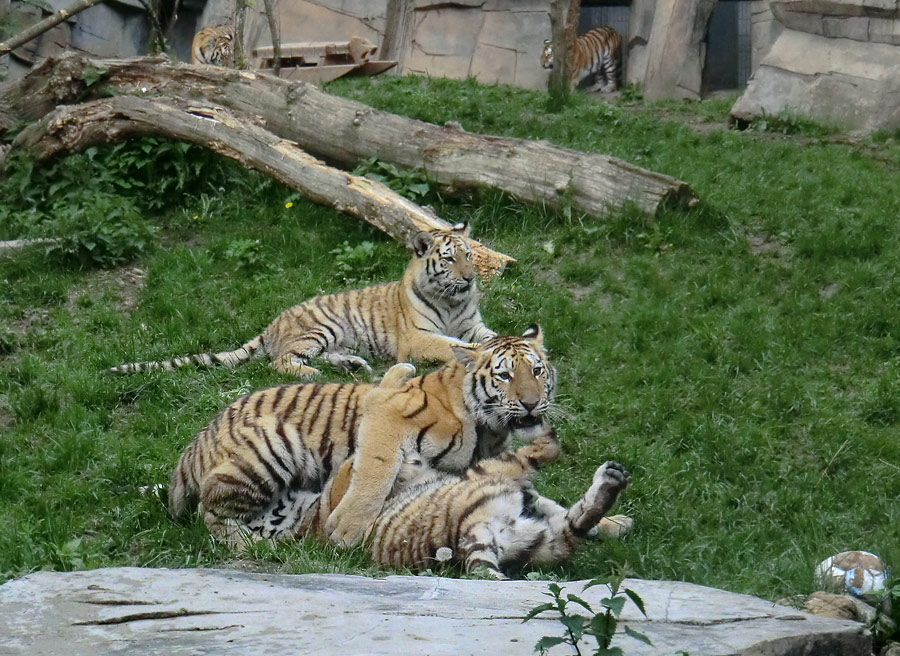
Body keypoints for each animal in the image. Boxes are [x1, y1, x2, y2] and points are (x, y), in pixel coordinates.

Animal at [110, 223, 500, 376]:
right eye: (448, 259)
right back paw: (312, 373)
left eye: (469, 255)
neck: (451, 301)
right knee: (280, 361)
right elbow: (448, 344)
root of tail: (272, 324)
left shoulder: (474, 325)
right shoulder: (418, 338)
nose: (469, 278)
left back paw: (351, 364)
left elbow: (491, 337)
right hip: (322, 327)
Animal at [168, 326, 564, 548]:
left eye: (537, 371)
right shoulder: (386, 413)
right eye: (504, 375)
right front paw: (347, 529)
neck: (489, 428)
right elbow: (375, 470)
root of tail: (194, 445)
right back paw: (245, 544)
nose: (531, 403)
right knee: (209, 509)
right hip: (272, 447)